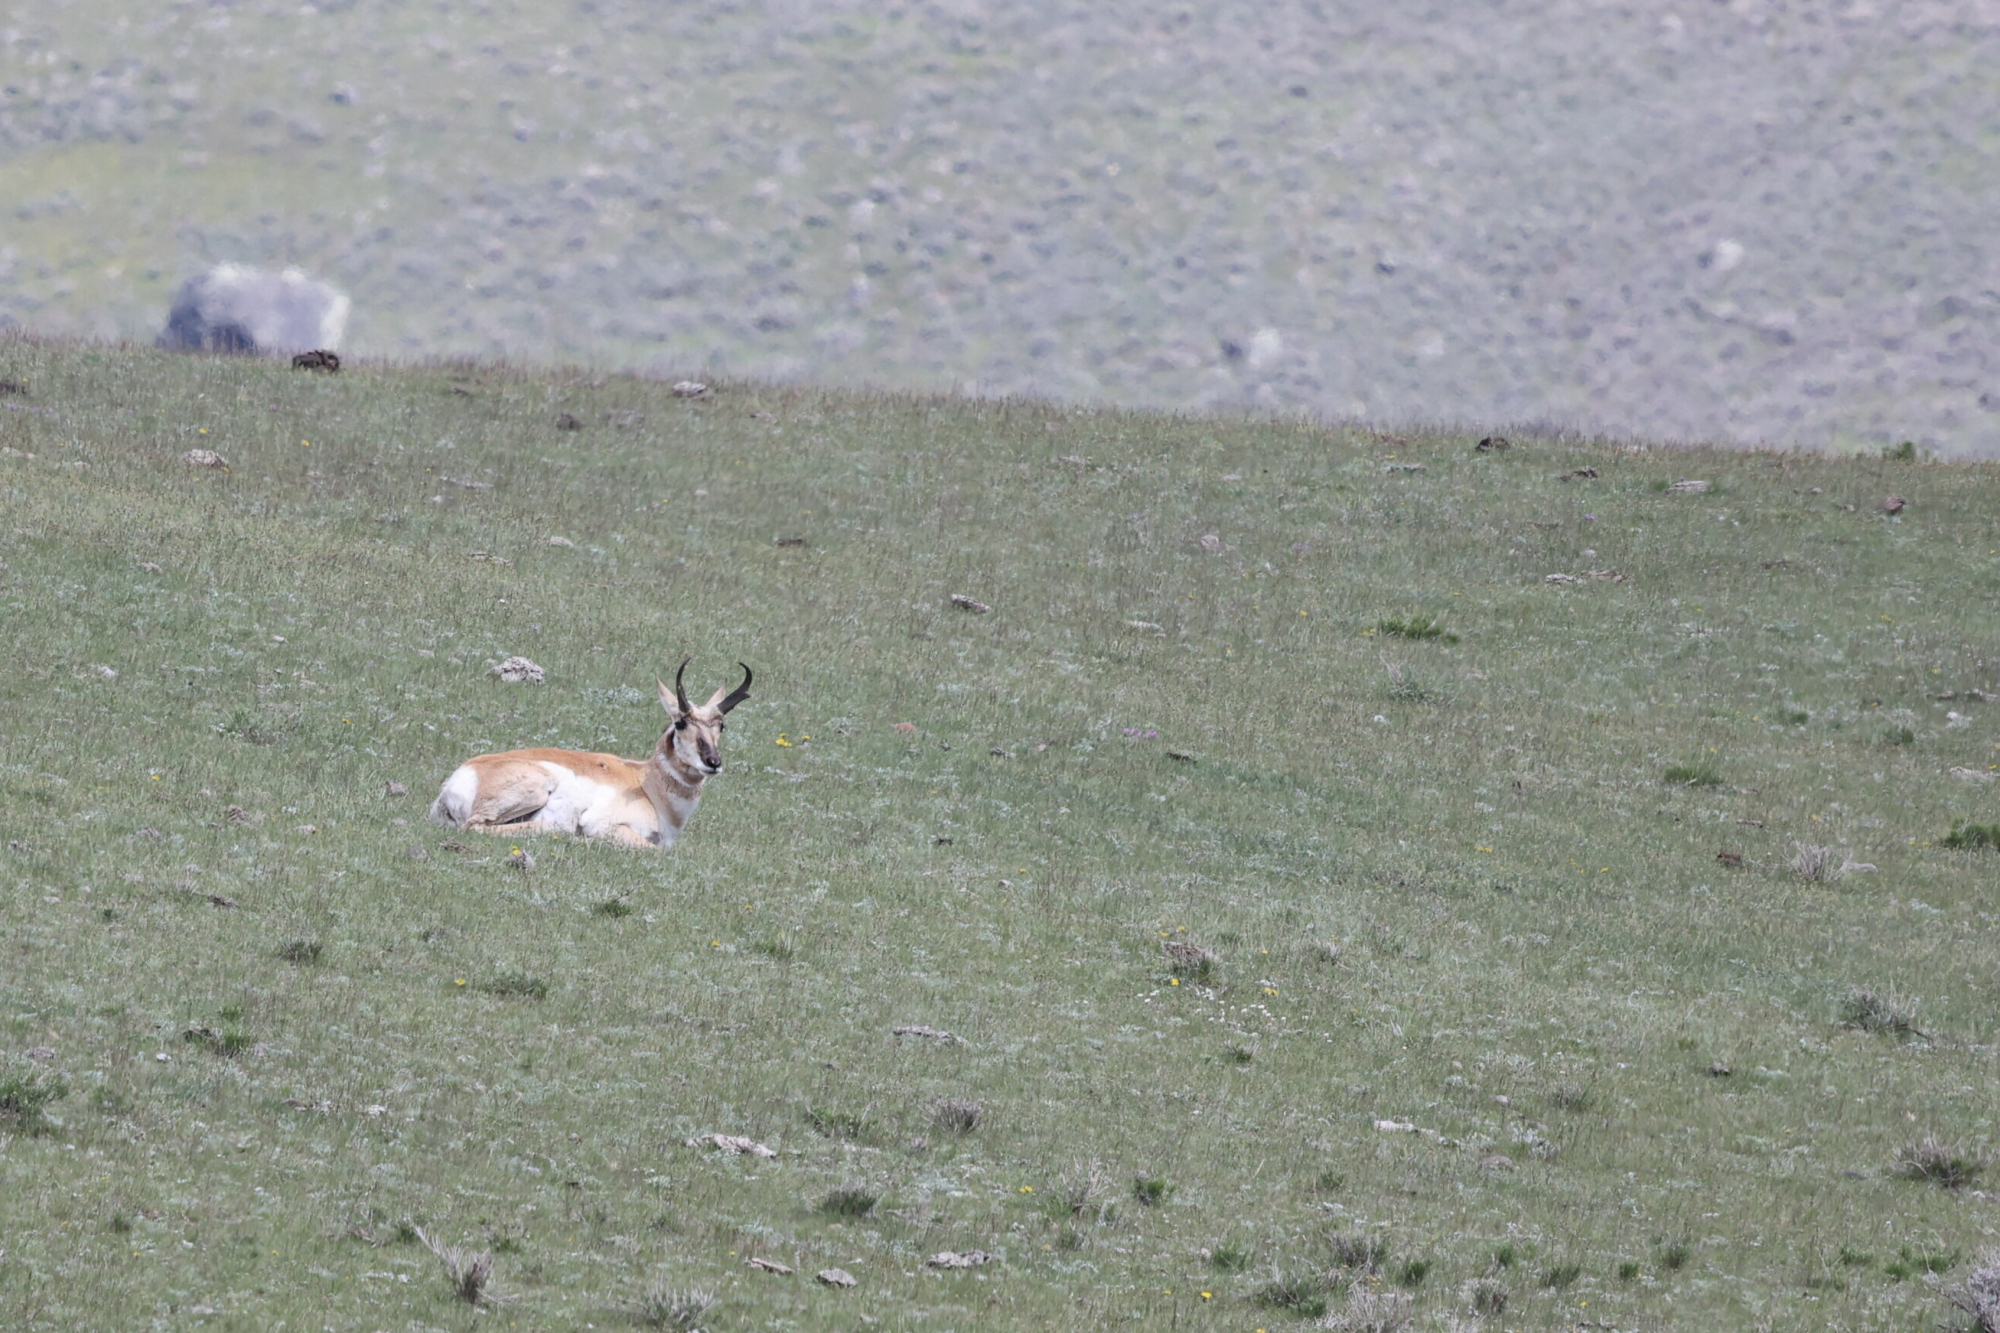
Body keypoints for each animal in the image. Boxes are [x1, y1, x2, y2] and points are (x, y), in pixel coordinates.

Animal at [430, 659, 751, 848]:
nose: (713, 762)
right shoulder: (608, 826)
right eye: (681, 722)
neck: (646, 784)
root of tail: (461, 775)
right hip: (537, 789)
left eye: (721, 725)